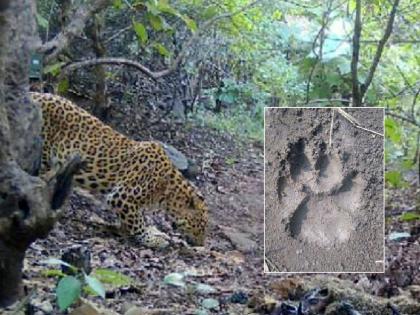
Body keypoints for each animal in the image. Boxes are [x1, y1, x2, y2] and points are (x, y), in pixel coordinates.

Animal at [28, 92, 208, 248]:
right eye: (201, 225)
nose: (201, 244)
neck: (167, 191)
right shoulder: (123, 197)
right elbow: (138, 224)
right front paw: (153, 240)